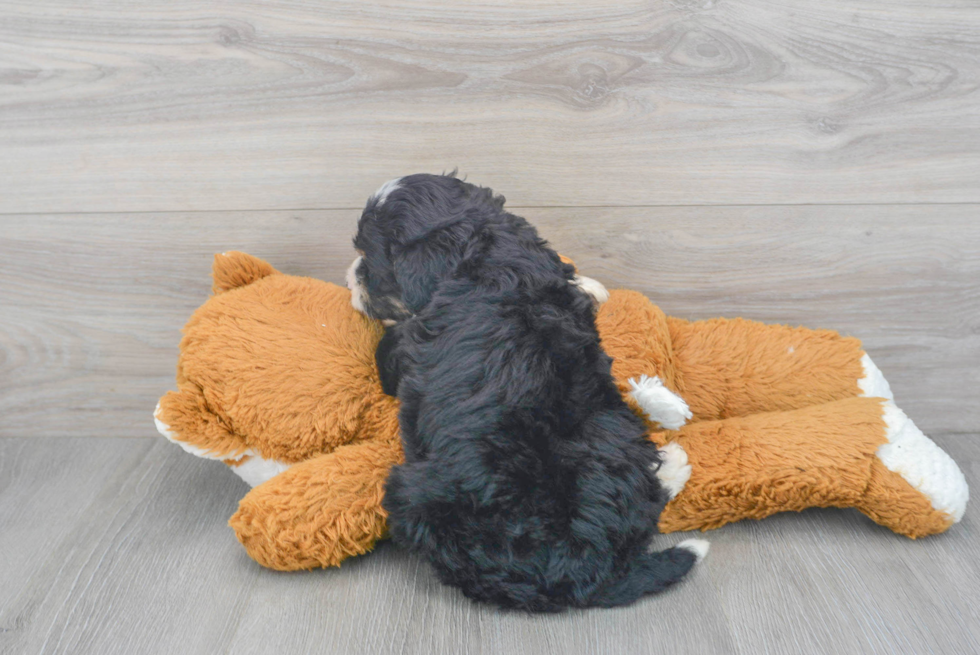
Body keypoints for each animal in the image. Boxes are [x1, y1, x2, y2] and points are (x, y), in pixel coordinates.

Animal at [344, 173, 704, 608]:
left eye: (368, 259)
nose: (349, 275)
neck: (484, 252)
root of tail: (579, 569)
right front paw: (592, 286)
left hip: (408, 491)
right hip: (605, 425)